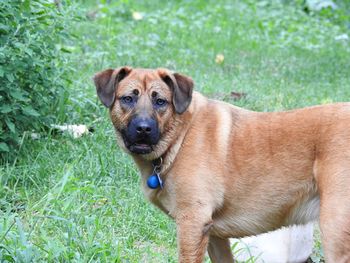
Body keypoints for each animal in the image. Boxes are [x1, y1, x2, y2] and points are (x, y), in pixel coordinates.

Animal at [93, 67, 350, 263]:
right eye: (128, 98)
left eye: (160, 101)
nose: (144, 129)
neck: (180, 137)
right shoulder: (214, 234)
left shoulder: (193, 224)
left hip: (335, 232)